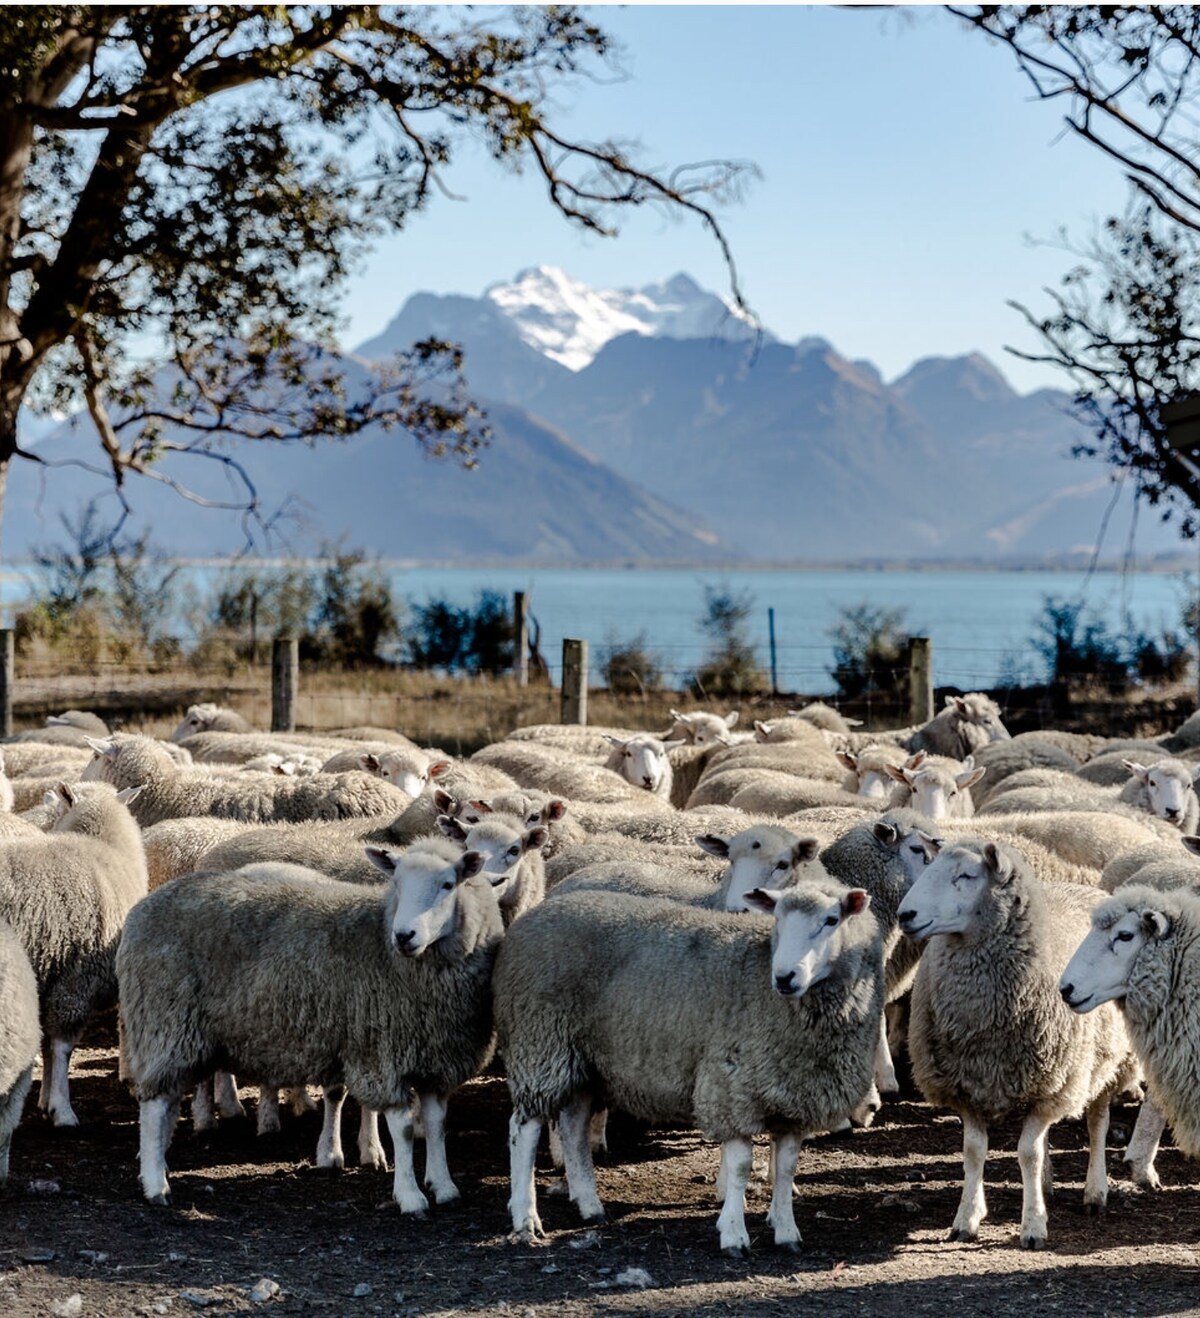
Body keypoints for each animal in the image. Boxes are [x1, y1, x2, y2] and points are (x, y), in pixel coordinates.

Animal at [1, 774, 147, 1128]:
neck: (106, 846)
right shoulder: (76, 977)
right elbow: (62, 1046)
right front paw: (62, 1109)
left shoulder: (50, 977)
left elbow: (47, 1044)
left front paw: (44, 1100)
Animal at [118, 838, 503, 1207]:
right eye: (396, 882)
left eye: (448, 884)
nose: (404, 936)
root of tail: (143, 907)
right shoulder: (380, 1055)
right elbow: (404, 1129)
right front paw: (410, 1196)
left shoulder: (436, 1060)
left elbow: (437, 1126)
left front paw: (445, 1187)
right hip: (166, 1024)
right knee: (154, 1106)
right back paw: (155, 1185)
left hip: (182, 1034)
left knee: (167, 1103)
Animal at [495, 880, 880, 1249]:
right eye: (778, 919)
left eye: (832, 920)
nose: (785, 977)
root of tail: (531, 916)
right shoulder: (731, 1088)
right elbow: (741, 1167)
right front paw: (734, 1235)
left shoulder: (794, 1098)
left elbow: (786, 1168)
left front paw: (787, 1232)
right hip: (541, 1044)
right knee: (522, 1130)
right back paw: (525, 1218)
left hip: (583, 1060)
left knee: (573, 1129)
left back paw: (590, 1206)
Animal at [901, 832, 1139, 1244]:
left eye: (966, 875)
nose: (905, 915)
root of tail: (1083, 886)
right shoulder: (965, 1083)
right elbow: (974, 1151)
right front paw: (967, 1218)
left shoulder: (1052, 1083)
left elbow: (1027, 1153)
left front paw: (1033, 1226)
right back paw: (1044, 1186)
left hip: (1099, 1065)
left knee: (1097, 1123)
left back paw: (1095, 1191)